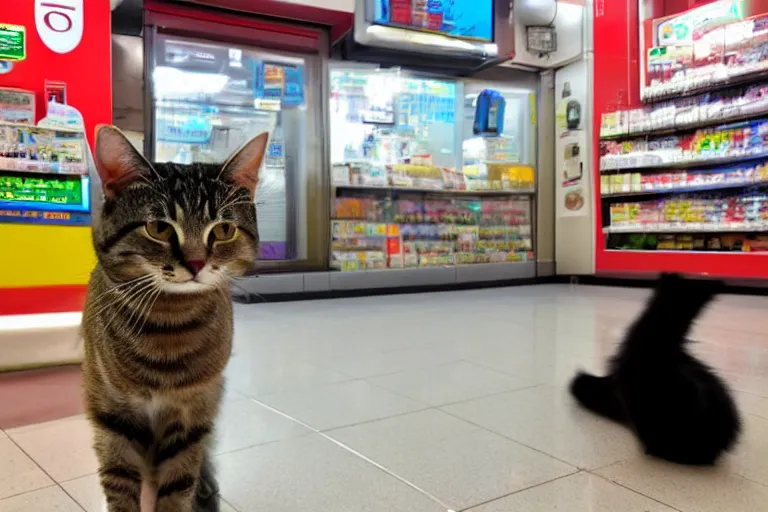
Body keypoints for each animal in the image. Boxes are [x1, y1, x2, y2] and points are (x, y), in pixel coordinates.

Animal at [83, 125, 268, 512]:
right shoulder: (112, 416)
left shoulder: (191, 414)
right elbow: (119, 483)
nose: (196, 263)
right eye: (159, 228)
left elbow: (179, 481)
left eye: (223, 230)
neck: (168, 323)